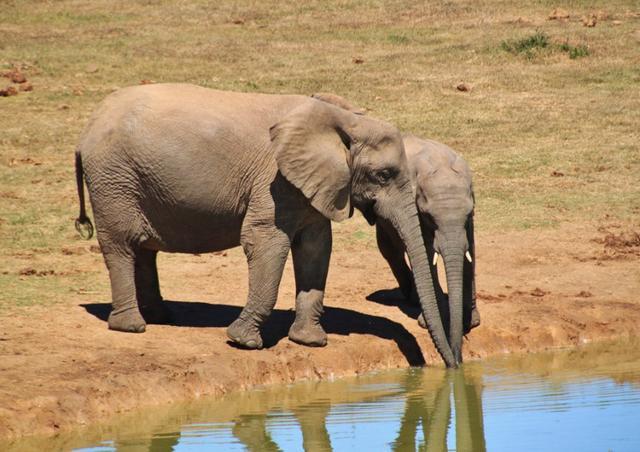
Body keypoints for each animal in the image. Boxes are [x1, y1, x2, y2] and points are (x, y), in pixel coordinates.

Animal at [72, 83, 458, 368]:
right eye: (384, 175)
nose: (453, 364)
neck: (342, 120)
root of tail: (88, 127)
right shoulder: (273, 182)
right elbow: (265, 242)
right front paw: (243, 342)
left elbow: (316, 248)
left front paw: (309, 342)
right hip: (113, 179)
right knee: (121, 245)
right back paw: (132, 327)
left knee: (144, 249)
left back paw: (161, 317)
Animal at [312, 92, 478, 364]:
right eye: (429, 216)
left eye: (467, 213)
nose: (457, 360)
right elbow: (425, 251)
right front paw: (429, 321)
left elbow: (470, 249)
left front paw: (471, 321)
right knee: (389, 246)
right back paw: (412, 297)